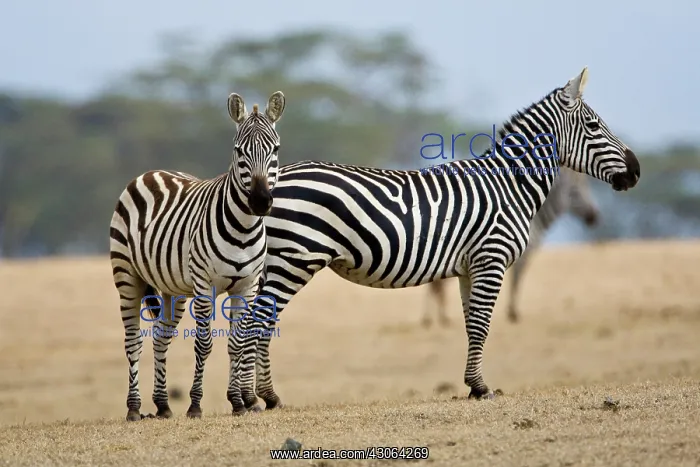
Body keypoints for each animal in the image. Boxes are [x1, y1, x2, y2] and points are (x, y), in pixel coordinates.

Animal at [109, 91, 286, 421]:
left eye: (276, 149)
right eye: (238, 151)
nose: (259, 202)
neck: (243, 228)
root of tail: (151, 172)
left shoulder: (247, 285)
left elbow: (237, 343)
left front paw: (238, 402)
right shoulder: (205, 285)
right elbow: (204, 344)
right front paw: (195, 405)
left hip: (173, 289)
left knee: (161, 337)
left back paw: (163, 405)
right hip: (126, 276)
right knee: (133, 341)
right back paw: (135, 407)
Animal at [422, 167, 600, 327]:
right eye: (575, 192)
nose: (594, 217)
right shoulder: (523, 253)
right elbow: (517, 279)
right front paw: (513, 312)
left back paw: (433, 318)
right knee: (436, 286)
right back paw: (437, 317)